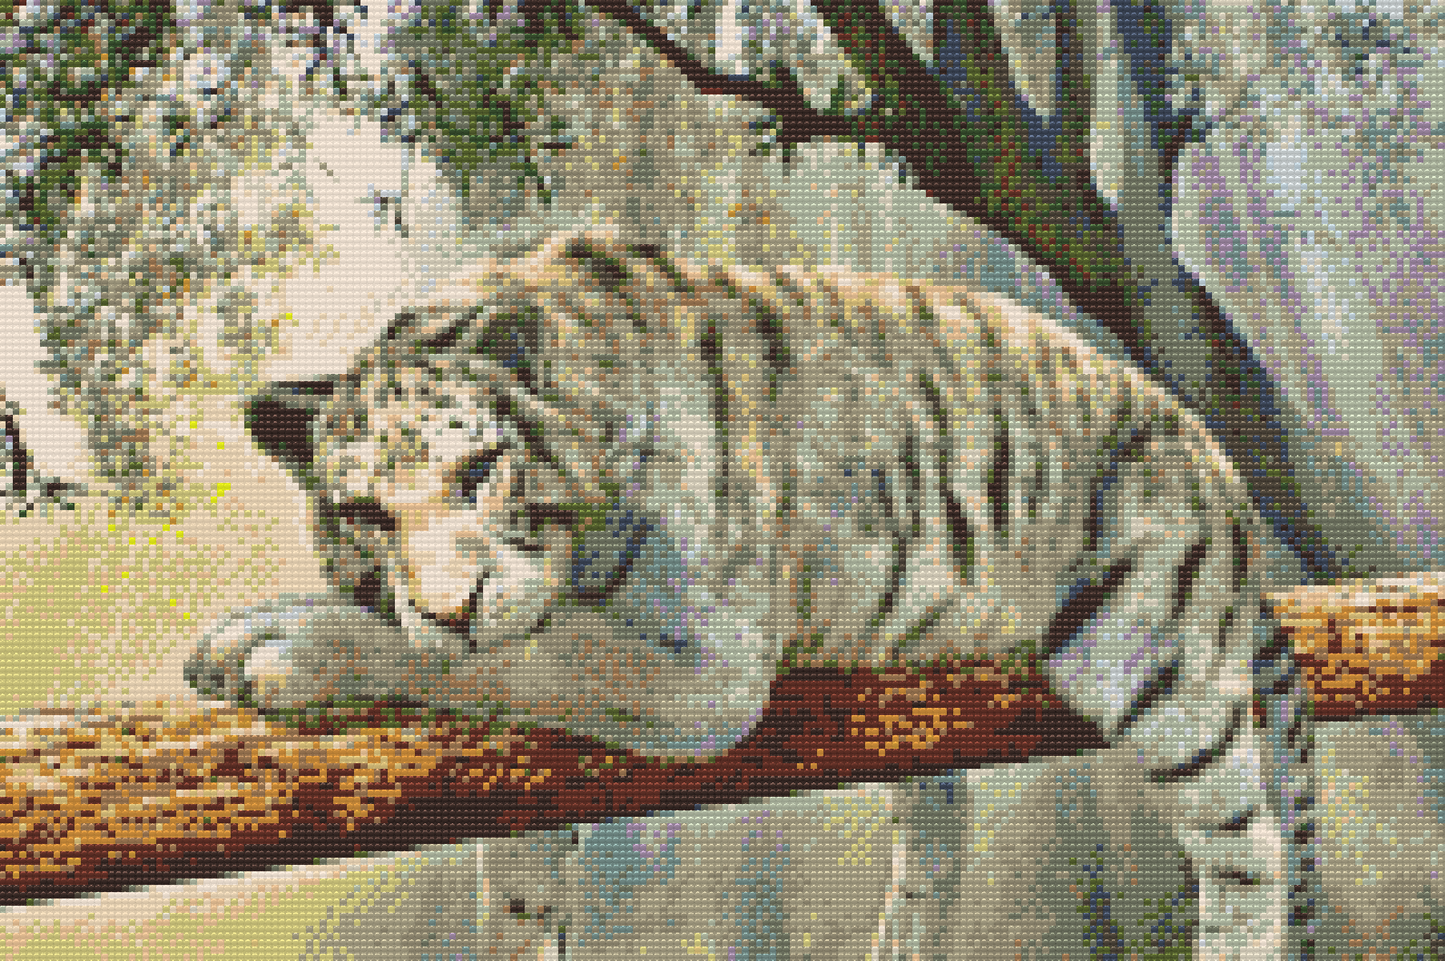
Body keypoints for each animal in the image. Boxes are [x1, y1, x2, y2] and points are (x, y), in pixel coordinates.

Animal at [186, 229, 1318, 958]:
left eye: (478, 473)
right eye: (366, 514)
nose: (450, 604)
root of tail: (1216, 466)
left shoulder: (701, 669)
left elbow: (529, 658)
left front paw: (275, 644)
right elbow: (516, 870)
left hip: (1152, 665)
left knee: (1249, 850)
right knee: (936, 826)